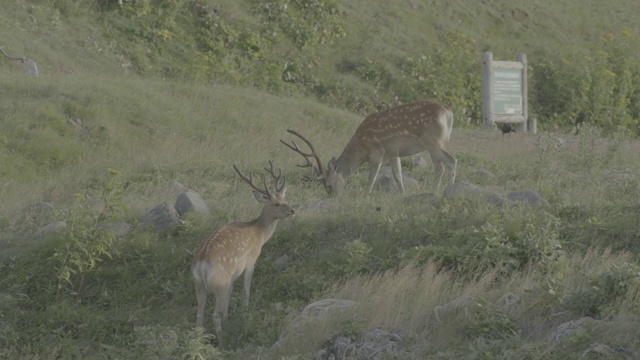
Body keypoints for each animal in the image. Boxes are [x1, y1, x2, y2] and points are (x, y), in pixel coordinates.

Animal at [192, 162, 296, 342]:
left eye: (285, 199)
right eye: (276, 203)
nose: (292, 210)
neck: (260, 234)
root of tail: (202, 262)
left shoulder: (233, 275)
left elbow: (231, 293)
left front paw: (228, 317)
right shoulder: (251, 260)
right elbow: (247, 289)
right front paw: (246, 313)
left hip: (199, 284)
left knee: (199, 315)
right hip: (220, 283)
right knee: (214, 315)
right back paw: (222, 340)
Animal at [280, 100, 456, 195]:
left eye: (328, 185)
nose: (333, 196)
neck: (361, 148)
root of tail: (449, 112)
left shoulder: (377, 152)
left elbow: (372, 176)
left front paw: (366, 194)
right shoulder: (393, 153)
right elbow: (397, 176)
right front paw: (402, 194)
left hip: (432, 141)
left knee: (446, 163)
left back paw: (439, 190)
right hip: (435, 143)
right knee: (446, 163)